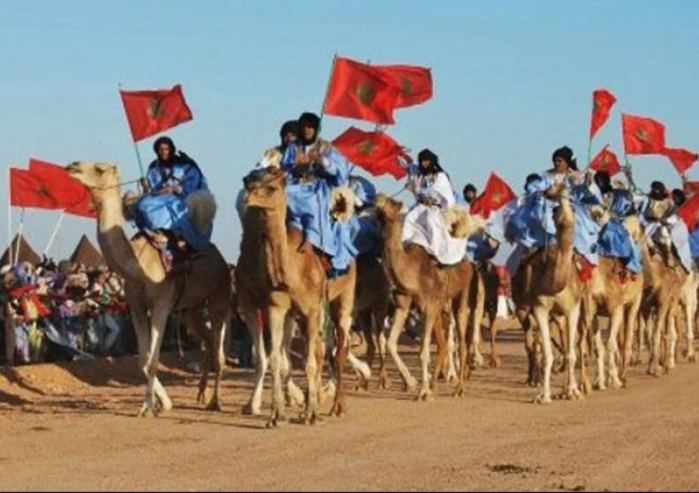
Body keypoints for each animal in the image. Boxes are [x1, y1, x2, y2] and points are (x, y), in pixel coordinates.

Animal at [66, 161, 231, 416]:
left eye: (100, 169)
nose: (72, 166)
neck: (137, 266)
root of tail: (224, 262)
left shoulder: (161, 305)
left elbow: (153, 360)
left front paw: (150, 408)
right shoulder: (136, 307)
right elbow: (142, 359)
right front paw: (159, 404)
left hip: (219, 297)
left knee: (218, 348)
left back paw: (216, 401)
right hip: (191, 309)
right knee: (208, 342)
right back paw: (201, 394)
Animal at [237, 167, 358, 424]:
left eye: (271, 187)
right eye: (248, 180)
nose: (247, 198)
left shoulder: (311, 310)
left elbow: (310, 362)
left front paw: (310, 412)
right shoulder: (272, 307)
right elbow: (273, 359)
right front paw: (275, 413)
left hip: (343, 298)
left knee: (338, 350)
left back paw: (337, 407)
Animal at [372, 193, 482, 400]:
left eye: (392, 202)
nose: (378, 197)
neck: (411, 272)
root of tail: (470, 265)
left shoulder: (429, 307)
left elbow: (423, 351)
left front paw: (422, 391)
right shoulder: (403, 305)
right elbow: (390, 343)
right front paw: (412, 382)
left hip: (461, 300)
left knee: (461, 343)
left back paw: (459, 388)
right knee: (444, 344)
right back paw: (436, 384)